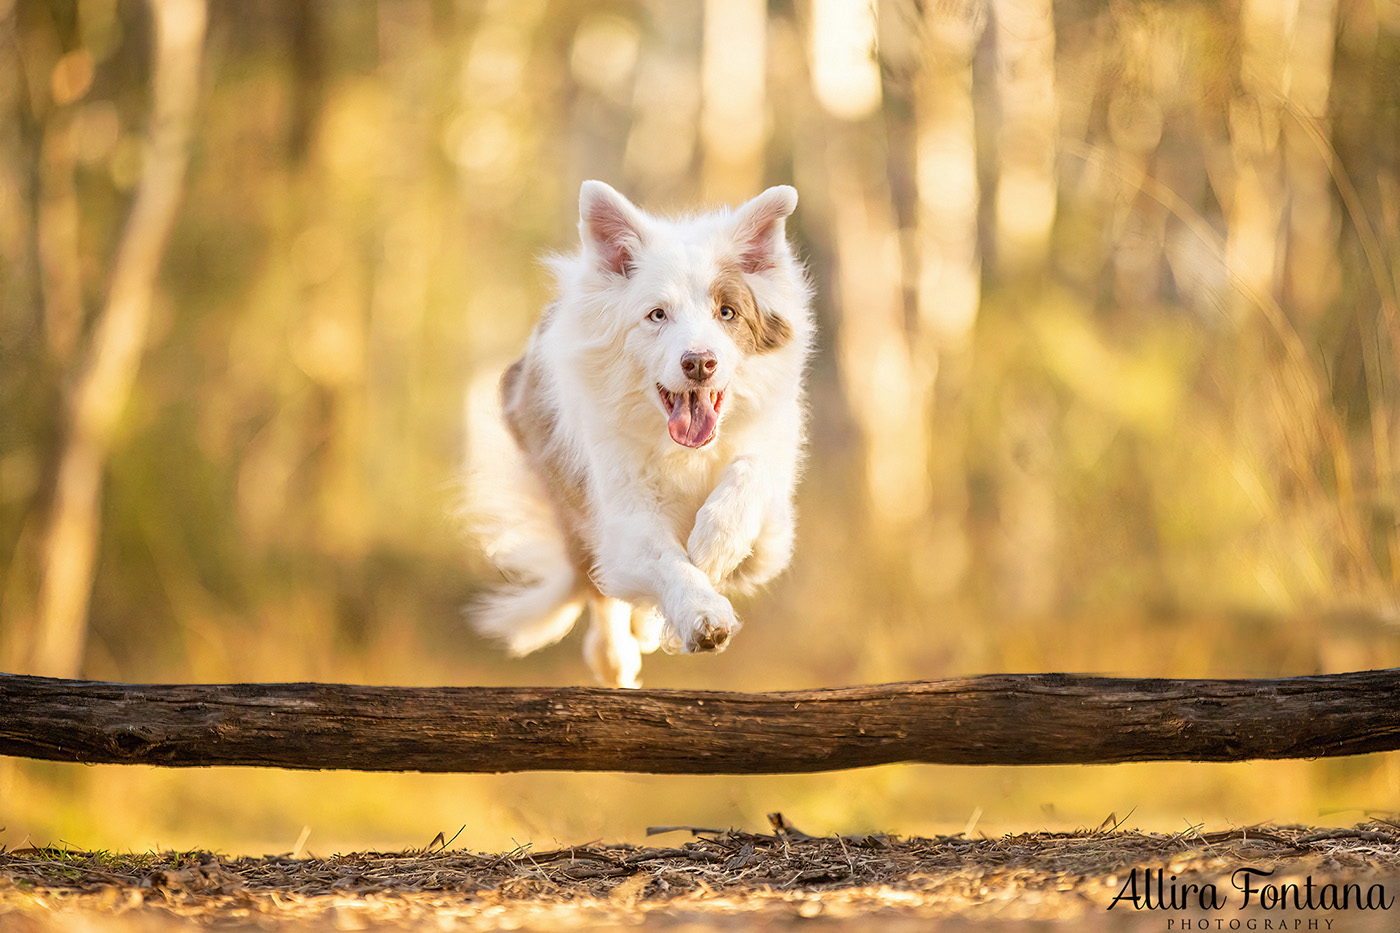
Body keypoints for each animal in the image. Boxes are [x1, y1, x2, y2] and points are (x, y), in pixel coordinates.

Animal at [467, 179, 817, 683]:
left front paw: (714, 543)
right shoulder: (622, 513)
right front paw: (701, 615)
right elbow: (666, 562)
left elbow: (750, 474)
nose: (699, 363)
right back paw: (616, 656)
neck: (684, 450)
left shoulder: (772, 530)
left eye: (727, 312)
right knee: (600, 590)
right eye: (657, 315)